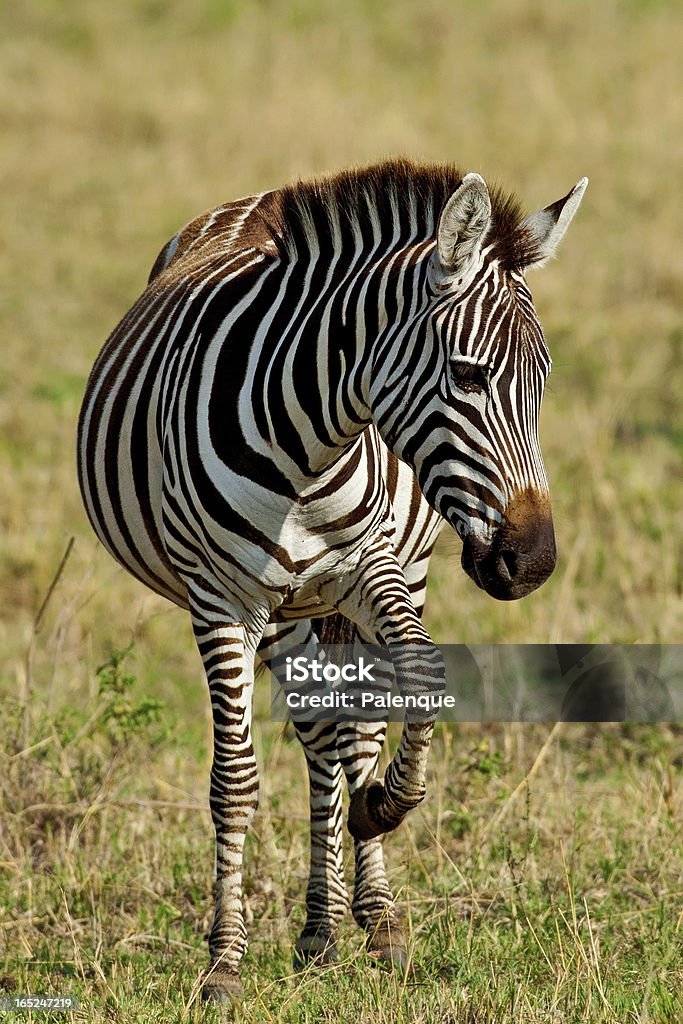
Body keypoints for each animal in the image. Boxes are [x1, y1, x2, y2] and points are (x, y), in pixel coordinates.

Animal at [76, 159, 589, 999]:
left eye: (542, 380)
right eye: (467, 375)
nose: (533, 563)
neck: (309, 447)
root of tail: (252, 199)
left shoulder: (369, 567)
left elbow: (418, 680)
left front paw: (380, 805)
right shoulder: (220, 602)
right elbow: (235, 779)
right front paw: (224, 963)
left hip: (381, 576)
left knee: (352, 730)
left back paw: (371, 920)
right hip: (284, 611)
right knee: (320, 733)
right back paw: (318, 931)